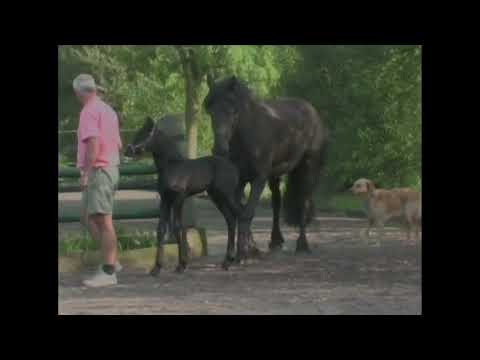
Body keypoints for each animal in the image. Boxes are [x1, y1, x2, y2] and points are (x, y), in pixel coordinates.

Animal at [125, 116, 242, 274]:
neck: (172, 166)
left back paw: (237, 258)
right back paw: (227, 262)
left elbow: (177, 227)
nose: (128, 150)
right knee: (230, 220)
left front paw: (181, 265)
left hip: (227, 195)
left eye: (146, 134)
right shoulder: (165, 200)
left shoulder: (178, 198)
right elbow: (161, 229)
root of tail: (232, 166)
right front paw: (156, 268)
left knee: (240, 215)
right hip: (217, 197)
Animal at [204, 75, 328, 258]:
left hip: (307, 167)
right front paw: (251, 248)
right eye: (211, 111)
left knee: (303, 201)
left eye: (233, 110)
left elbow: (247, 212)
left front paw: (244, 253)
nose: (219, 149)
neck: (248, 136)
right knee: (276, 203)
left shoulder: (259, 178)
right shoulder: (240, 180)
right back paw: (275, 241)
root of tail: (312, 111)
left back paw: (302, 245)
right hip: (275, 175)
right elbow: (240, 211)